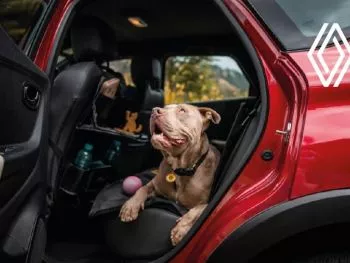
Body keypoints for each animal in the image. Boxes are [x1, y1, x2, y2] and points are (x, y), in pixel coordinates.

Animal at [119, 104, 220, 246]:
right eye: (165, 107)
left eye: (182, 110)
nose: (155, 110)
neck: (180, 168)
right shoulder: (154, 184)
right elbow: (142, 189)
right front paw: (130, 206)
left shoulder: (208, 202)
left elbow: (195, 212)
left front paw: (180, 229)